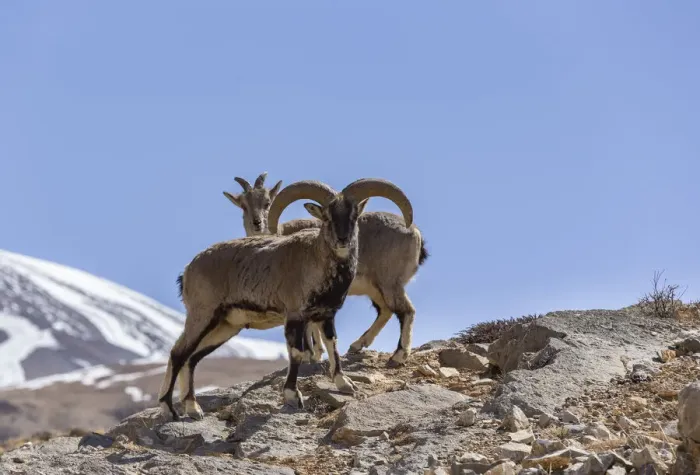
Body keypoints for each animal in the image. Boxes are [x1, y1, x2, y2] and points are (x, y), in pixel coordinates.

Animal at [223, 172, 428, 367]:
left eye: (267, 203)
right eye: (244, 205)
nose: (257, 223)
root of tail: (414, 232)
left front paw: (311, 355)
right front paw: (316, 354)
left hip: (389, 283)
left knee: (405, 311)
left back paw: (398, 356)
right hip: (374, 288)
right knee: (386, 310)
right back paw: (357, 345)